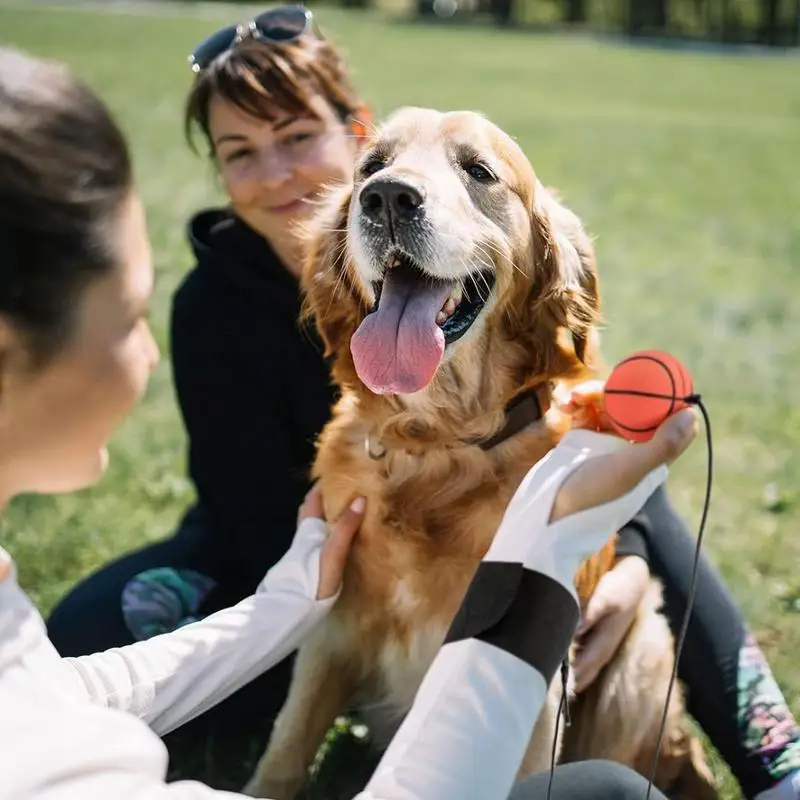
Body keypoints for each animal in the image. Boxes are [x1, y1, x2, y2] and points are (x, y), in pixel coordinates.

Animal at [242, 109, 712, 800]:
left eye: (479, 171)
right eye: (371, 165)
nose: (387, 197)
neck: (435, 443)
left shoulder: (538, 702)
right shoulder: (332, 635)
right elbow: (283, 753)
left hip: (642, 655)